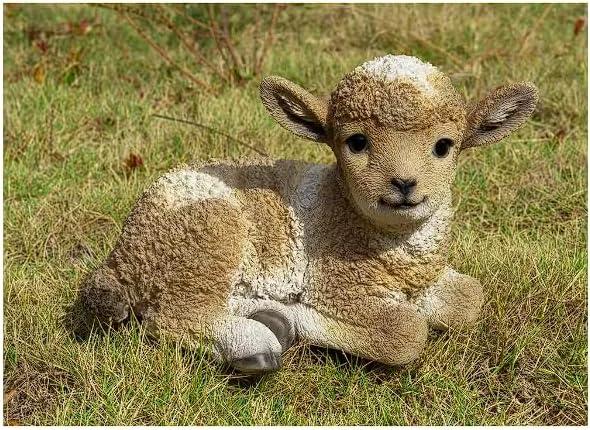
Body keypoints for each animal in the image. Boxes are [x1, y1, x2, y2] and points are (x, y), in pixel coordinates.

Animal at [80, 55, 540, 372]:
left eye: (445, 146)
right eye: (356, 142)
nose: (404, 183)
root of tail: (122, 254)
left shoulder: (427, 277)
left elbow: (470, 299)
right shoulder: (338, 284)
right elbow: (406, 333)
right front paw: (295, 317)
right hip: (208, 238)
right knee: (173, 317)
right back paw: (257, 340)